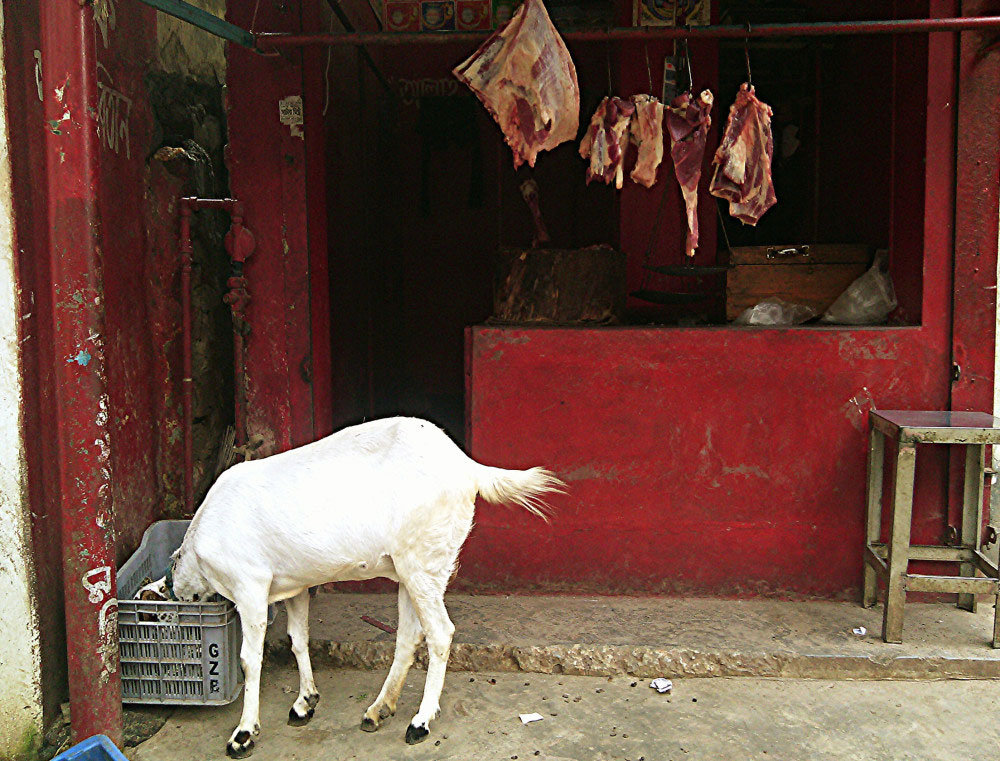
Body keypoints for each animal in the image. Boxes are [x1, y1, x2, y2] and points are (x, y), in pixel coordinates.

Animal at [153, 416, 568, 756]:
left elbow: (249, 660)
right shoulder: (296, 585)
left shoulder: (250, 587)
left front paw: (243, 734)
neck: (198, 549)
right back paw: (378, 710)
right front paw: (305, 701)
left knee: (441, 633)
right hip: (412, 568)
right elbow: (298, 639)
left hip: (423, 561)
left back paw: (420, 722)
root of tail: (467, 466)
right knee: (408, 636)